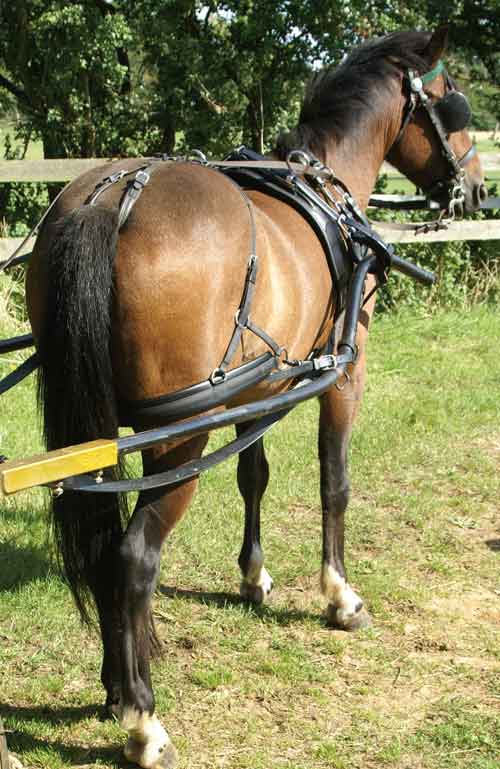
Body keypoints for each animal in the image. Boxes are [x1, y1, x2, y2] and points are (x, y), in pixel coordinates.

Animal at [25, 28, 485, 769]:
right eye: (452, 100)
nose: (475, 187)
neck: (327, 182)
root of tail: (112, 198)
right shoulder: (345, 371)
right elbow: (335, 481)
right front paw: (340, 596)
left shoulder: (260, 387)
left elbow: (254, 475)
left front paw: (254, 577)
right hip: (181, 434)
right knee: (134, 556)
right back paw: (144, 721)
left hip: (95, 428)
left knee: (99, 545)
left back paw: (115, 686)